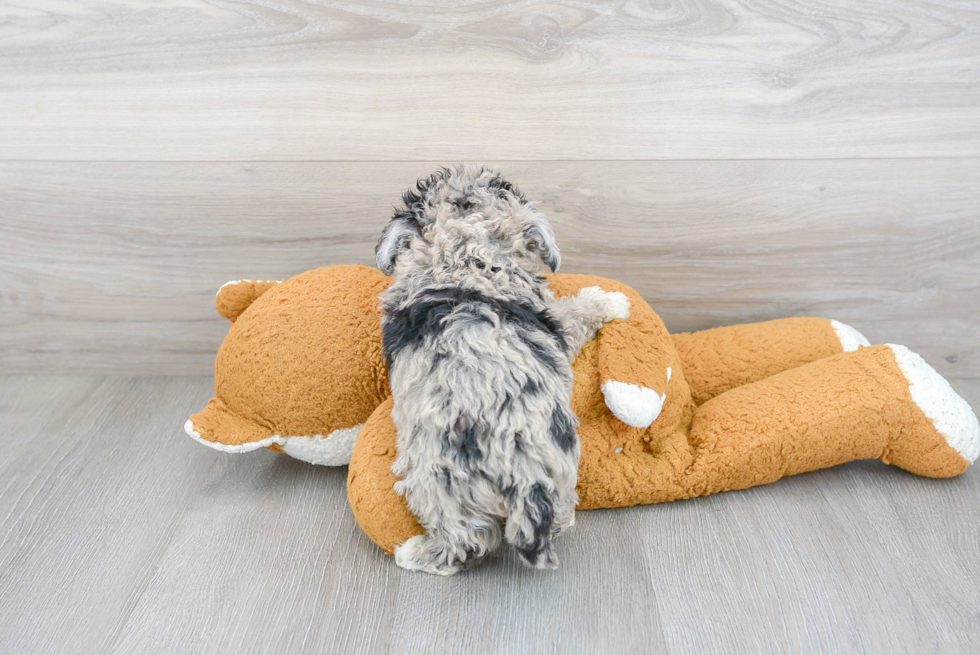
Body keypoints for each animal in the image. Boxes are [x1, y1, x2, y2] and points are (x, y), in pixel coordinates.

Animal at [376, 165, 628, 576]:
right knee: (471, 544)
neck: (463, 257)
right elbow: (576, 313)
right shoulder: (556, 320)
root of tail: (519, 468)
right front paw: (609, 301)